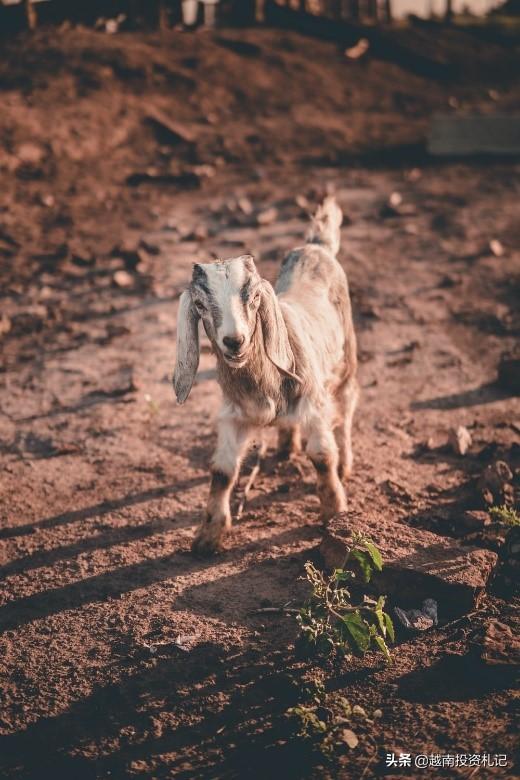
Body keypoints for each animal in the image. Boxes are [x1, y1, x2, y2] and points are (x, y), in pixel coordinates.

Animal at [174, 195, 358, 556]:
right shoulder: (233, 416)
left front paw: (334, 511)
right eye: (200, 305)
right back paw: (286, 445)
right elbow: (222, 471)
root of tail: (316, 247)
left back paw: (345, 464)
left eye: (255, 297)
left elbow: (322, 456)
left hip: (347, 358)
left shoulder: (315, 404)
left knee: (345, 409)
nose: (234, 341)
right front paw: (207, 536)